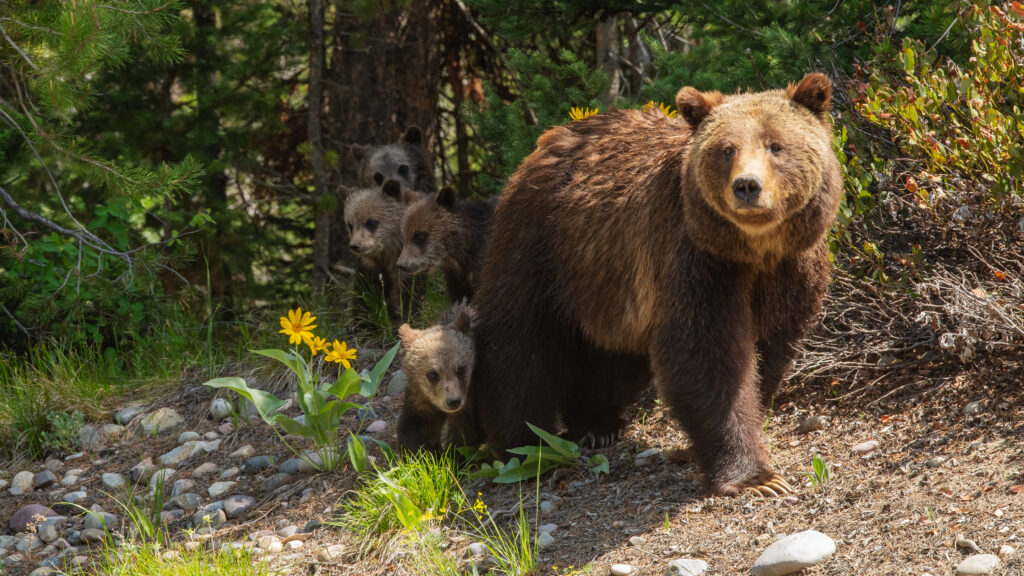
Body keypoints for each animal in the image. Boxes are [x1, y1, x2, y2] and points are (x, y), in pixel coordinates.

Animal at [396, 300, 478, 452]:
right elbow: (415, 430)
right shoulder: (421, 400)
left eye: (461, 369)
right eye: (432, 374)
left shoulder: (470, 399)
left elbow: (465, 434)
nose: (453, 401)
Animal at [469, 73, 842, 496]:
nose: (747, 186)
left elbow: (770, 349)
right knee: (520, 344)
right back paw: (525, 446)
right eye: (726, 149)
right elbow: (706, 354)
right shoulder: (697, 261)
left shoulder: (791, 270)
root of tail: (549, 139)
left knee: (614, 358)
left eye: (776, 145)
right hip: (542, 246)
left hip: (610, 283)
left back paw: (596, 423)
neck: (755, 250)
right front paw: (756, 478)